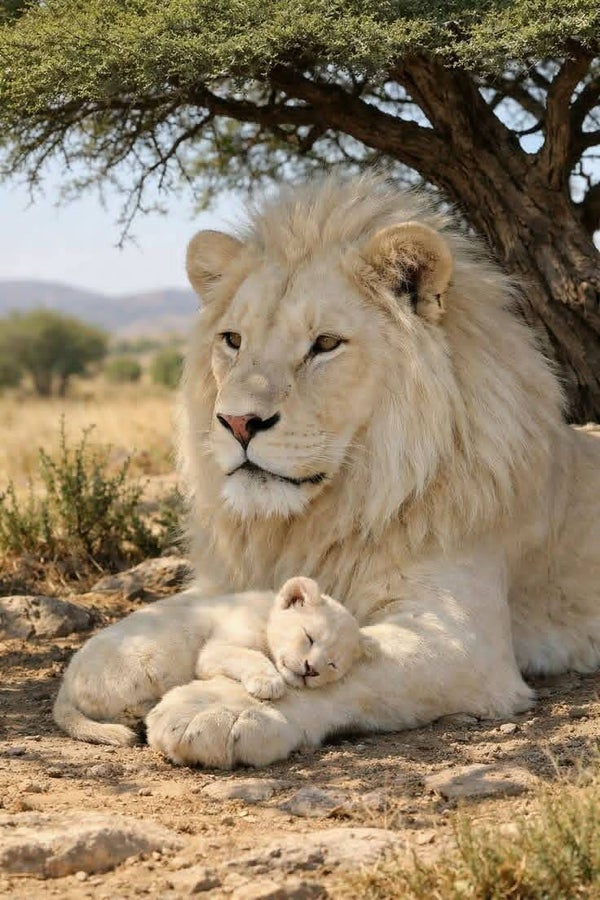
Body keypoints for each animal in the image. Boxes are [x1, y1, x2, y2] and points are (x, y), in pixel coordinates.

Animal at [53, 576, 367, 745]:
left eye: (333, 665)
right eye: (309, 637)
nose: (311, 670)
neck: (265, 613)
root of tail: (65, 686)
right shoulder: (214, 651)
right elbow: (250, 655)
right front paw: (269, 683)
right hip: (142, 663)